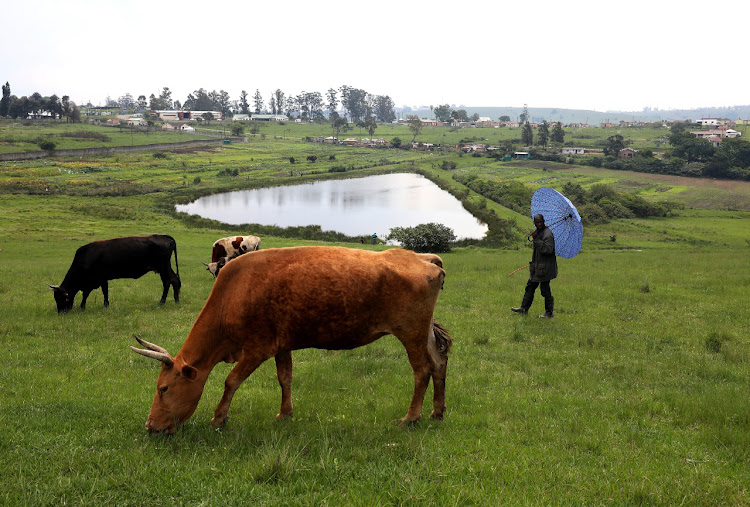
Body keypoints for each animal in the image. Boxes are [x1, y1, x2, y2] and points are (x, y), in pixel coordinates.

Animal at [49, 234, 181, 314]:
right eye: (55, 298)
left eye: (61, 298)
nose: (60, 313)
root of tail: (163, 236)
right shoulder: (97, 280)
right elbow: (94, 293)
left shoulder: (99, 278)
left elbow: (97, 292)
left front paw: (98, 306)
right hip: (163, 268)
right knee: (171, 281)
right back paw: (171, 301)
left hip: (163, 267)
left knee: (171, 281)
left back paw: (166, 302)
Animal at [131, 244, 452, 434]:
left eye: (163, 388)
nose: (149, 425)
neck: (231, 295)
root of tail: (421, 256)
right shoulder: (281, 344)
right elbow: (285, 378)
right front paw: (285, 414)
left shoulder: (257, 347)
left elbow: (231, 381)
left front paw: (219, 418)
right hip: (423, 331)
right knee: (438, 362)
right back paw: (437, 412)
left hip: (410, 331)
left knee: (421, 370)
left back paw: (411, 417)